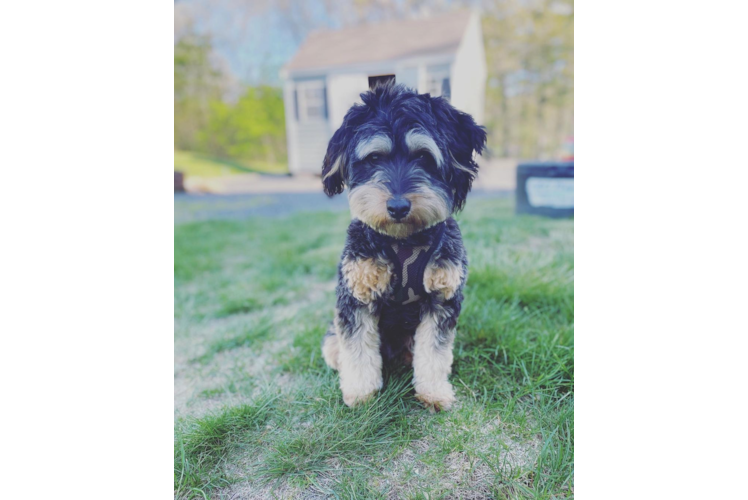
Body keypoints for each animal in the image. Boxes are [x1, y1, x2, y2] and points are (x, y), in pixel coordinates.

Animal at [320, 82, 486, 410]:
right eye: (374, 159)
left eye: (423, 157)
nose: (397, 207)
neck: (403, 239)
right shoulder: (357, 296)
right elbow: (358, 349)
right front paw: (361, 393)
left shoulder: (442, 299)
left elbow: (434, 352)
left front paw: (433, 392)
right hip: (332, 337)